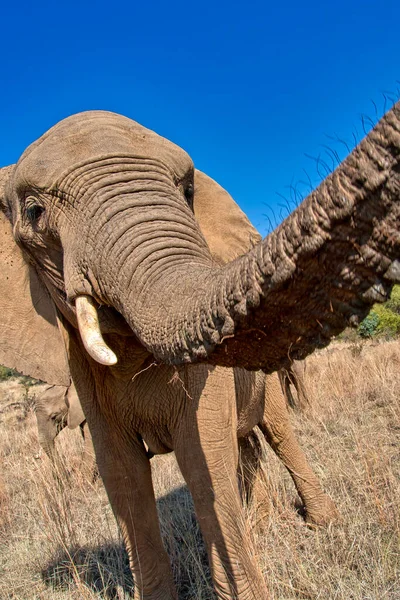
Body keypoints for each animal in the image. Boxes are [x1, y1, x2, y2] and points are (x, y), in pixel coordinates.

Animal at [0, 104, 398, 600]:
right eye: (35, 213)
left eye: (187, 192)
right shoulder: (84, 375)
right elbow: (122, 475)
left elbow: (201, 453)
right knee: (246, 445)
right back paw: (260, 525)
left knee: (276, 433)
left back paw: (321, 524)